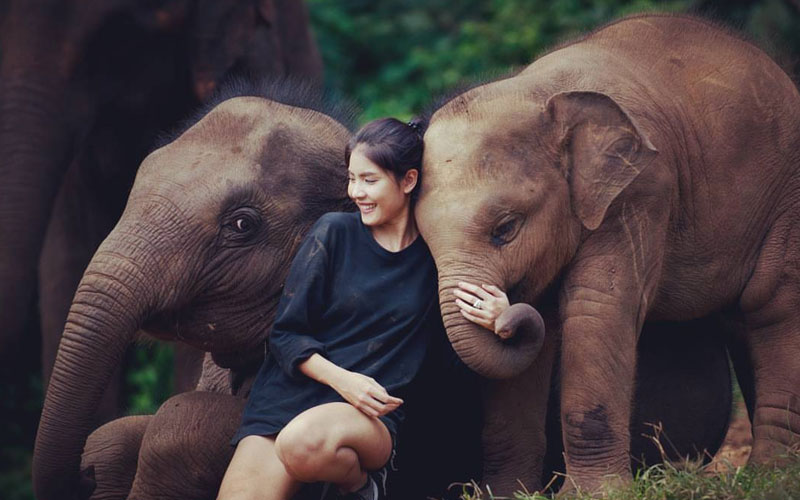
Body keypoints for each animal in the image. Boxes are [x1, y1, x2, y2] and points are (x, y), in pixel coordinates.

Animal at [415, 13, 800, 495]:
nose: (498, 311)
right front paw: (507, 495)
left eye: (506, 229)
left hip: (786, 201)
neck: (538, 91)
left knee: (772, 307)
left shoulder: (641, 189)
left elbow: (596, 308)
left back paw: (771, 477)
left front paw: (592, 495)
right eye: (423, 241)